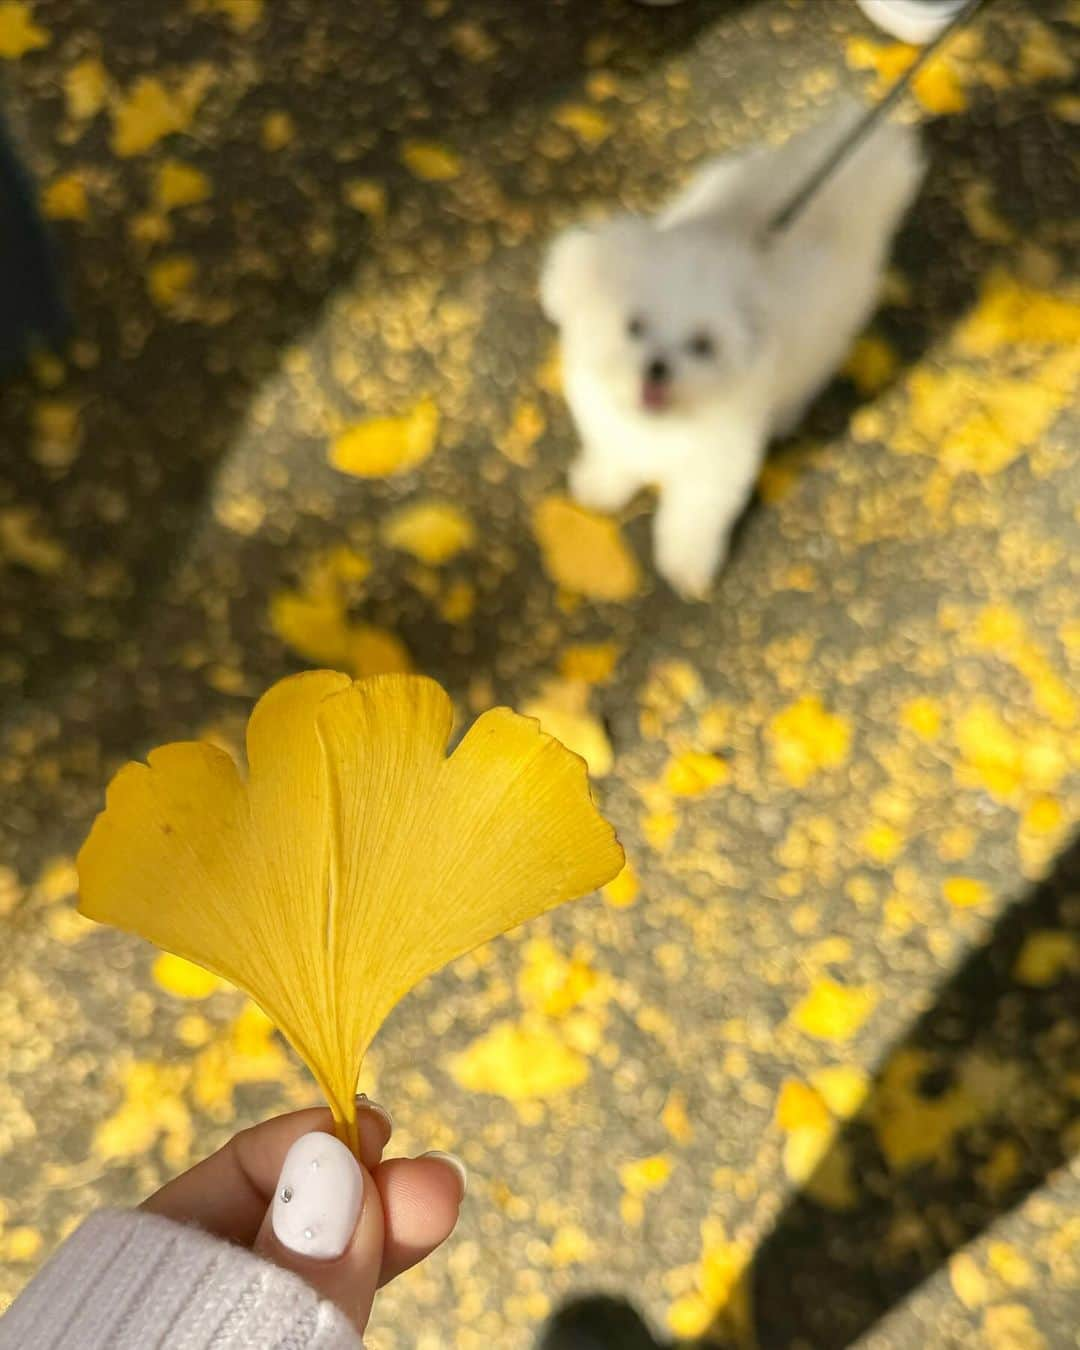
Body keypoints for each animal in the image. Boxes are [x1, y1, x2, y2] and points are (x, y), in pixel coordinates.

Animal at [545, 110, 923, 602]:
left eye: (703, 345)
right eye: (634, 325)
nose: (657, 367)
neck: (661, 427)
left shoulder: (715, 470)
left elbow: (691, 518)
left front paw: (686, 568)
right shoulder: (610, 428)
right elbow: (612, 455)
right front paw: (599, 486)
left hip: (828, 335)